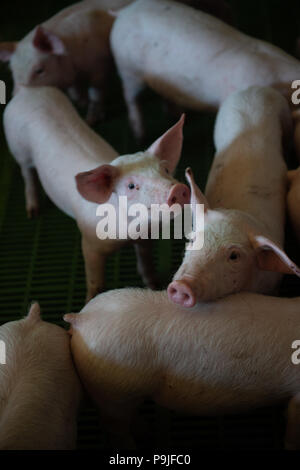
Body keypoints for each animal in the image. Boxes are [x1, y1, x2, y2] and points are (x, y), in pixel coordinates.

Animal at [3, 86, 189, 302]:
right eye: (131, 186)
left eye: (165, 170)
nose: (178, 189)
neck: (127, 232)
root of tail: (28, 90)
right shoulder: (90, 244)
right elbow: (95, 280)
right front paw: (89, 301)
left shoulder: (145, 237)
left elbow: (145, 259)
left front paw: (153, 284)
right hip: (19, 150)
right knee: (28, 174)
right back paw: (33, 212)